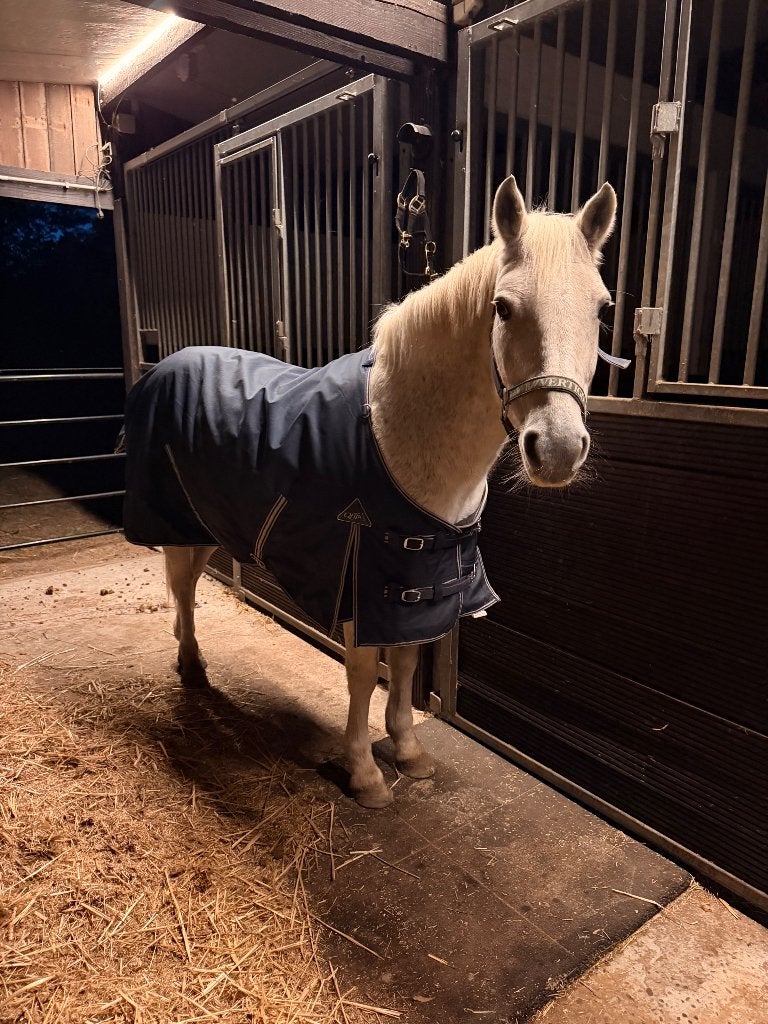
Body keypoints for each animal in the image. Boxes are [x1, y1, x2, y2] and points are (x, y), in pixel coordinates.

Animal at [121, 175, 618, 809]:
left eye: (601, 309)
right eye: (503, 308)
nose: (556, 449)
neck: (395, 432)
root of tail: (165, 366)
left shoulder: (416, 583)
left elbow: (404, 663)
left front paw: (407, 750)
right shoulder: (359, 576)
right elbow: (362, 673)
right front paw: (364, 773)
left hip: (213, 522)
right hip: (179, 522)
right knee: (183, 587)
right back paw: (191, 668)